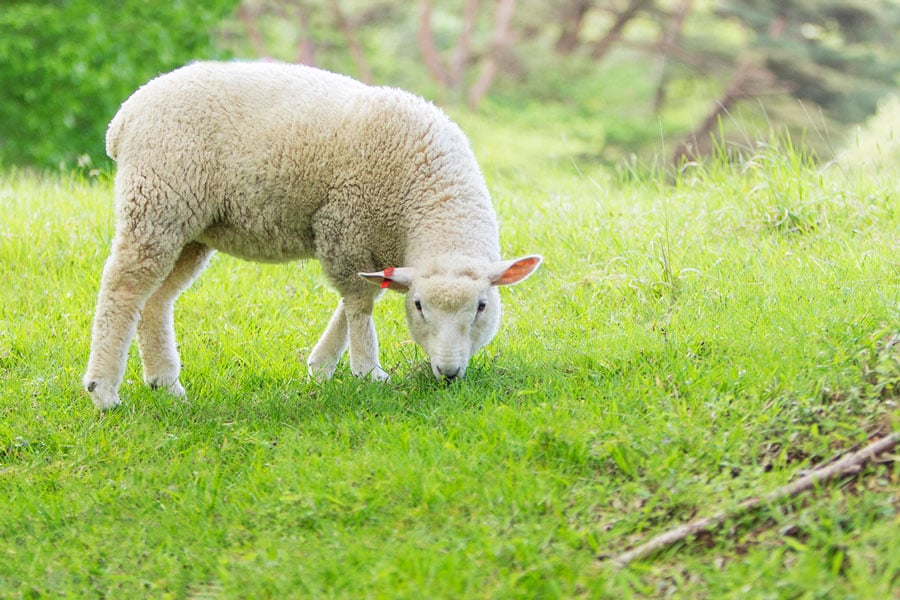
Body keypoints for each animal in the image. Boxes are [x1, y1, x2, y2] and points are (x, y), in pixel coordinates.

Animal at [82, 61, 540, 410]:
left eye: (482, 306)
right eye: (419, 307)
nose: (448, 373)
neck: (432, 198)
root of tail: (124, 117)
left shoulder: (373, 249)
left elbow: (358, 299)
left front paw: (322, 366)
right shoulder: (344, 226)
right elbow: (359, 303)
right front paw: (366, 371)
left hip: (190, 225)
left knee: (156, 298)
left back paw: (166, 384)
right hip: (157, 199)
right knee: (123, 288)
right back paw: (103, 391)